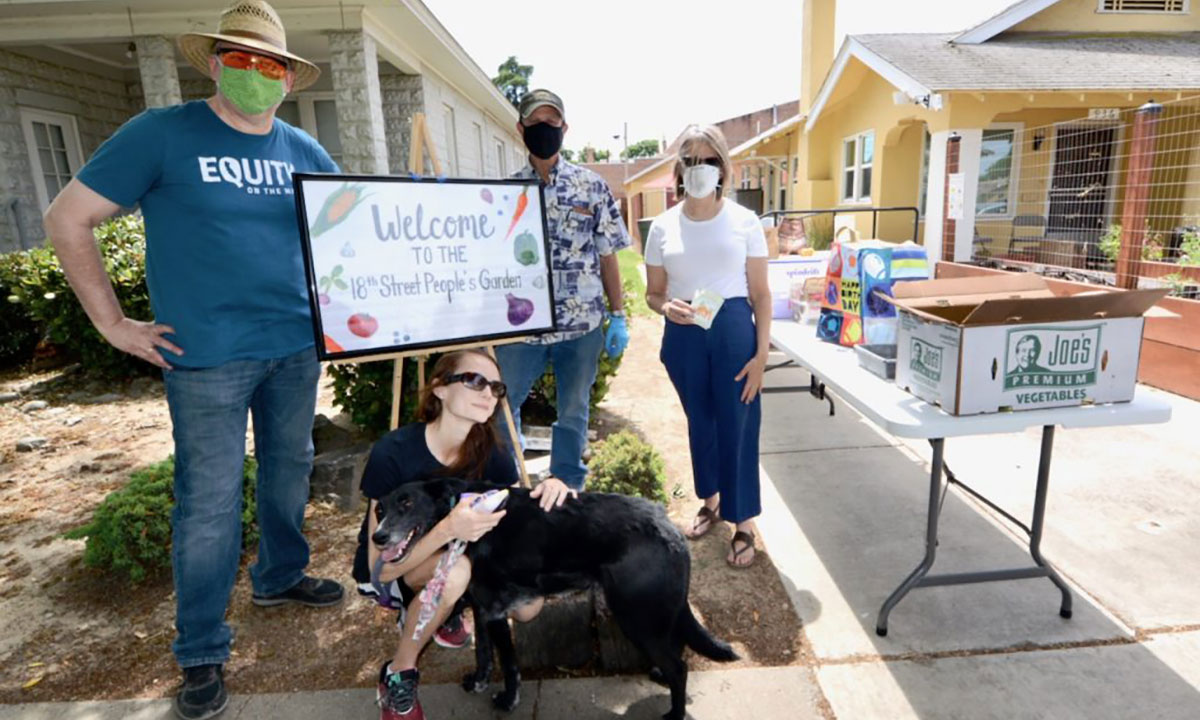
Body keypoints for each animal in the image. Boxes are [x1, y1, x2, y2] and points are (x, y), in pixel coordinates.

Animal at [369, 477, 734, 720]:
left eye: (407, 503)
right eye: (380, 509)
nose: (378, 536)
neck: (464, 513)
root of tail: (671, 530)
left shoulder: (496, 612)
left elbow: (509, 664)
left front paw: (508, 700)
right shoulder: (483, 608)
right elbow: (482, 654)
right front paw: (478, 682)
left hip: (635, 615)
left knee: (680, 667)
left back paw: (673, 712)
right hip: (653, 613)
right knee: (677, 647)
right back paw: (660, 676)